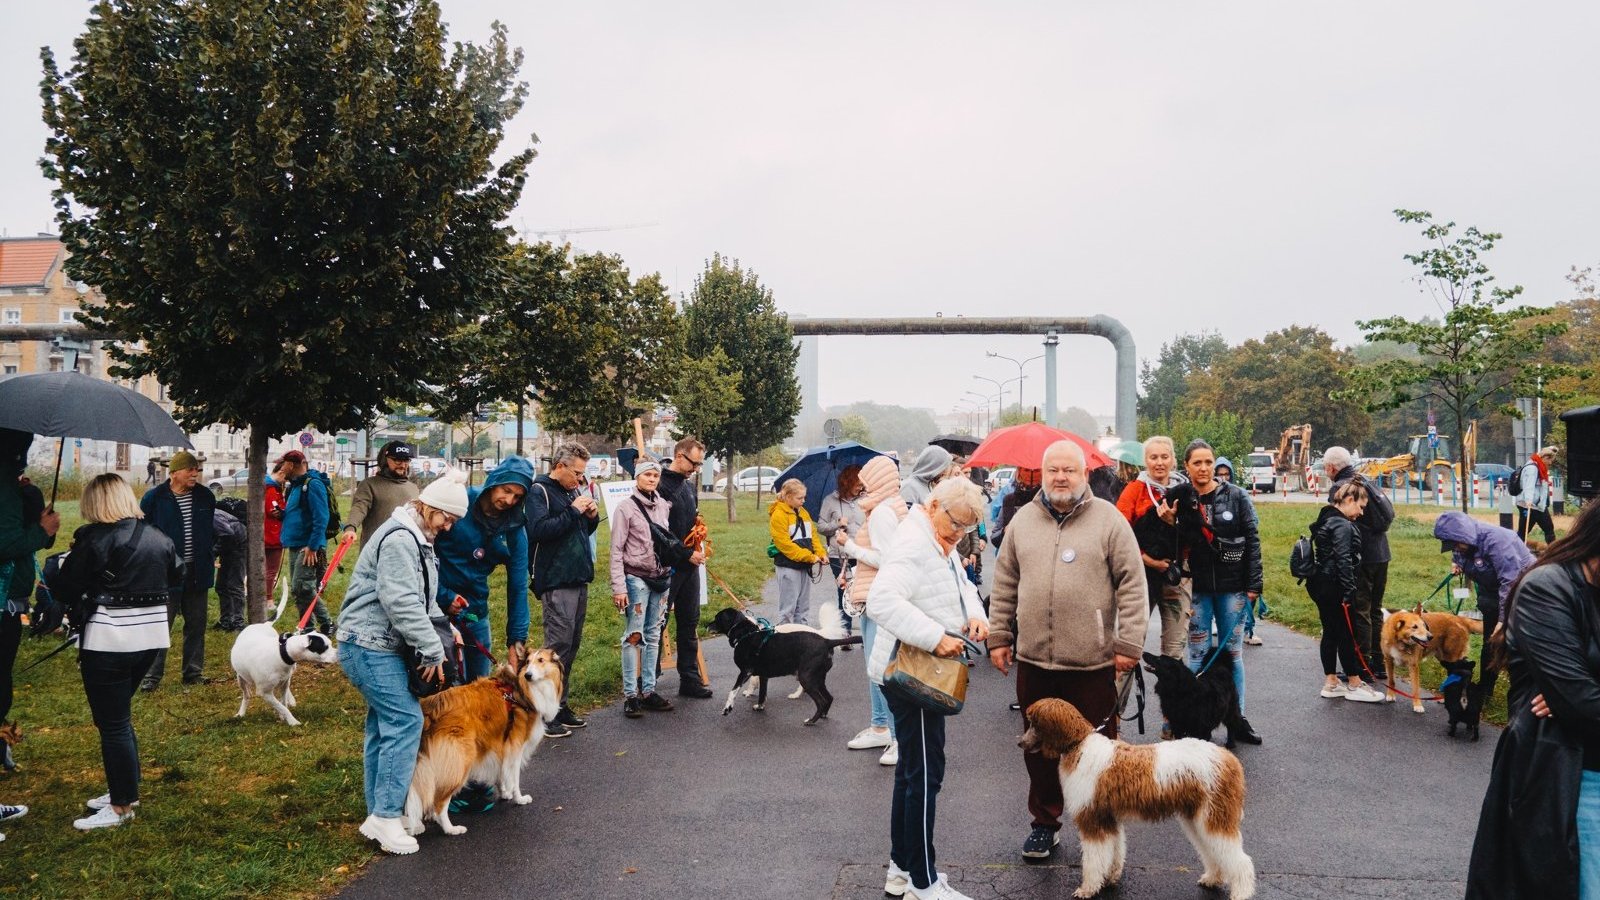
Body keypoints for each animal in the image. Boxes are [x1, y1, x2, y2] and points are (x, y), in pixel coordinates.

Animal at [400, 643, 563, 832]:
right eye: (528, 662)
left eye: (541, 660)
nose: (528, 675)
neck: (521, 691)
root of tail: (431, 707)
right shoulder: (516, 747)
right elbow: (514, 777)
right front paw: (519, 798)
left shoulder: (501, 743)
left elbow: (501, 773)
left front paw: (504, 793)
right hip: (460, 760)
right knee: (439, 802)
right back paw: (451, 829)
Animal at [713, 602, 864, 720]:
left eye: (717, 618)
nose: (708, 624)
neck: (747, 633)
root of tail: (826, 640)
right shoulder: (763, 675)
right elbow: (762, 694)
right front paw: (760, 706)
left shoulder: (745, 672)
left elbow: (733, 691)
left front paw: (728, 708)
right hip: (817, 678)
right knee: (829, 698)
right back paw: (821, 715)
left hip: (806, 677)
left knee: (819, 700)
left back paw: (810, 718)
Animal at [1017, 695, 1254, 896]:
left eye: (1034, 723)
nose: (1020, 742)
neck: (1079, 746)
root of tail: (1229, 759)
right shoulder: (1109, 818)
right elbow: (1114, 851)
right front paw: (1111, 877)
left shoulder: (1092, 819)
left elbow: (1094, 859)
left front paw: (1088, 889)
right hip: (1198, 817)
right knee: (1212, 852)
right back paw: (1212, 878)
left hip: (1215, 817)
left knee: (1241, 862)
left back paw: (1240, 893)